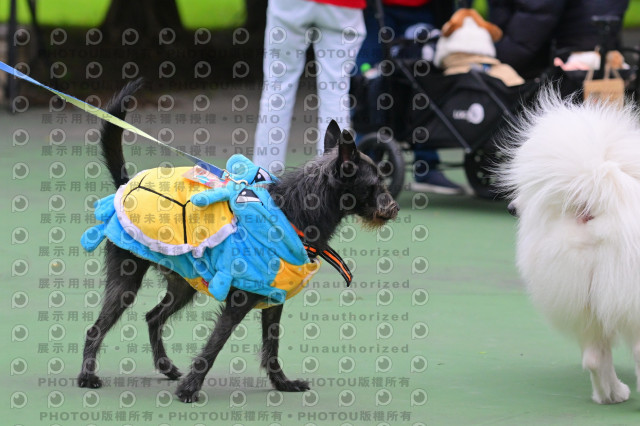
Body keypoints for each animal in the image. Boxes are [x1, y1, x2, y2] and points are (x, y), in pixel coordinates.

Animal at [77, 81, 399, 403]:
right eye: (374, 185)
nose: (394, 207)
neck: (294, 211)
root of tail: (126, 184)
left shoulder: (274, 300)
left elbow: (272, 347)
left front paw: (282, 383)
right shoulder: (238, 302)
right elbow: (214, 346)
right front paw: (190, 389)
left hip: (183, 285)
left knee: (153, 317)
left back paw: (166, 367)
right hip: (127, 282)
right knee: (96, 329)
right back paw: (87, 376)